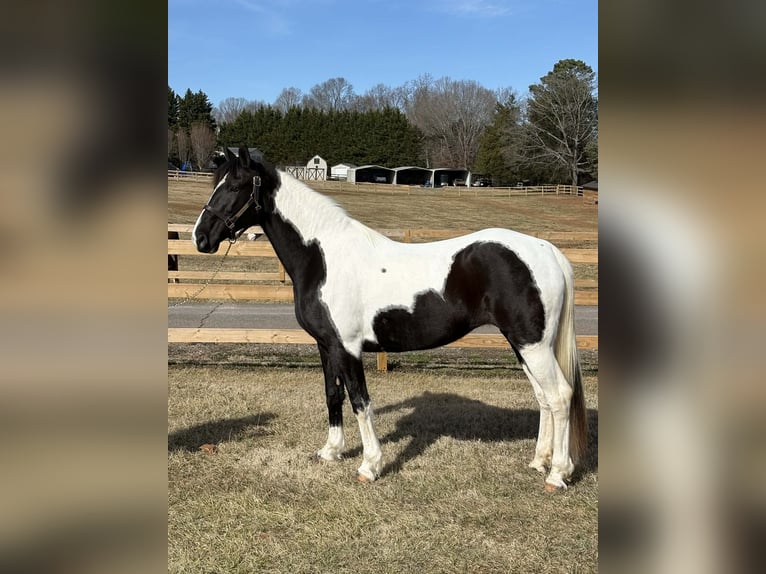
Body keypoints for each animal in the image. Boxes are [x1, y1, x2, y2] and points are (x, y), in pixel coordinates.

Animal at [191, 147, 586, 491]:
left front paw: (370, 465)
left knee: (560, 396)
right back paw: (538, 462)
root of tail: (547, 250)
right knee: (543, 398)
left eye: (235, 186)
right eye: (216, 183)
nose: (200, 238)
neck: (323, 258)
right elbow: (332, 395)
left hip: (532, 345)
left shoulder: (348, 348)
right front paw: (331, 451)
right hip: (524, 345)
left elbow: (360, 401)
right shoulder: (326, 346)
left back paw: (557, 474)